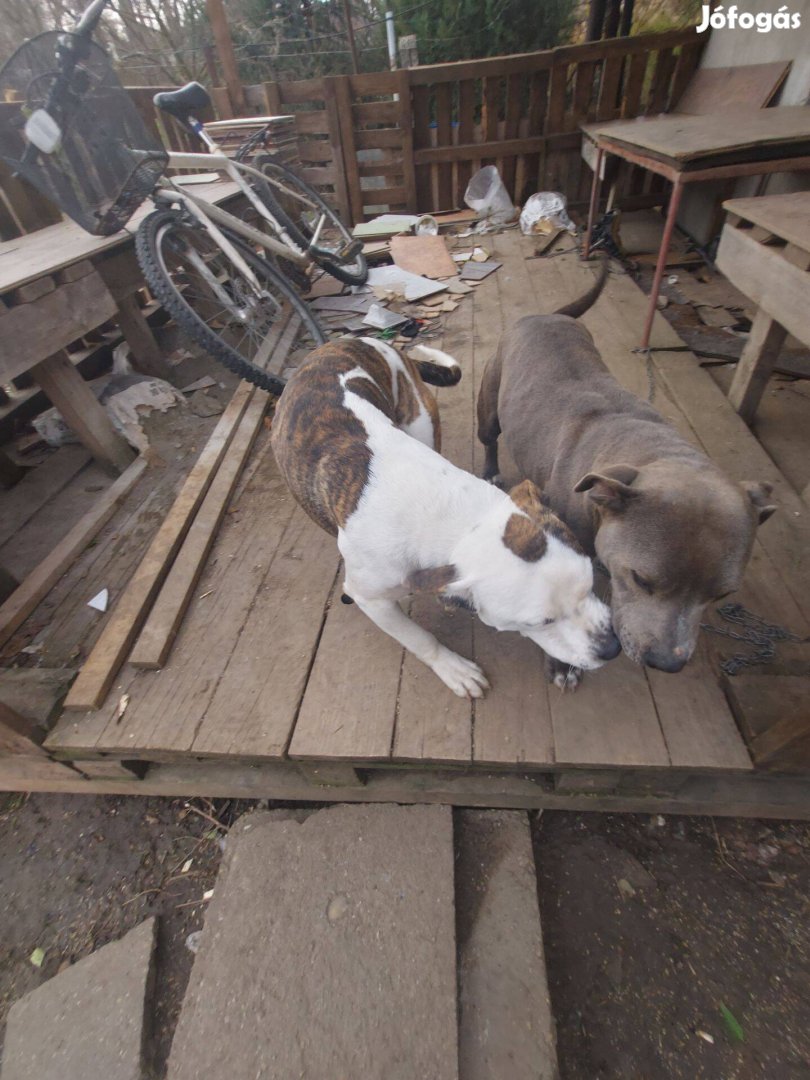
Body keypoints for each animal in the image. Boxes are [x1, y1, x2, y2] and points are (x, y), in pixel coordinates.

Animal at [273, 334, 622, 699]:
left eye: (589, 584)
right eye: (542, 622)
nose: (611, 647)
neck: (445, 512)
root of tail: (351, 339)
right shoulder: (370, 597)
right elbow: (417, 637)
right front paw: (452, 667)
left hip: (420, 420)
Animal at [479, 262, 777, 682]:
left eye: (722, 594)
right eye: (641, 579)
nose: (667, 663)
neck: (647, 451)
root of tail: (545, 315)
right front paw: (563, 663)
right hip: (489, 407)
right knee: (490, 438)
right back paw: (490, 470)